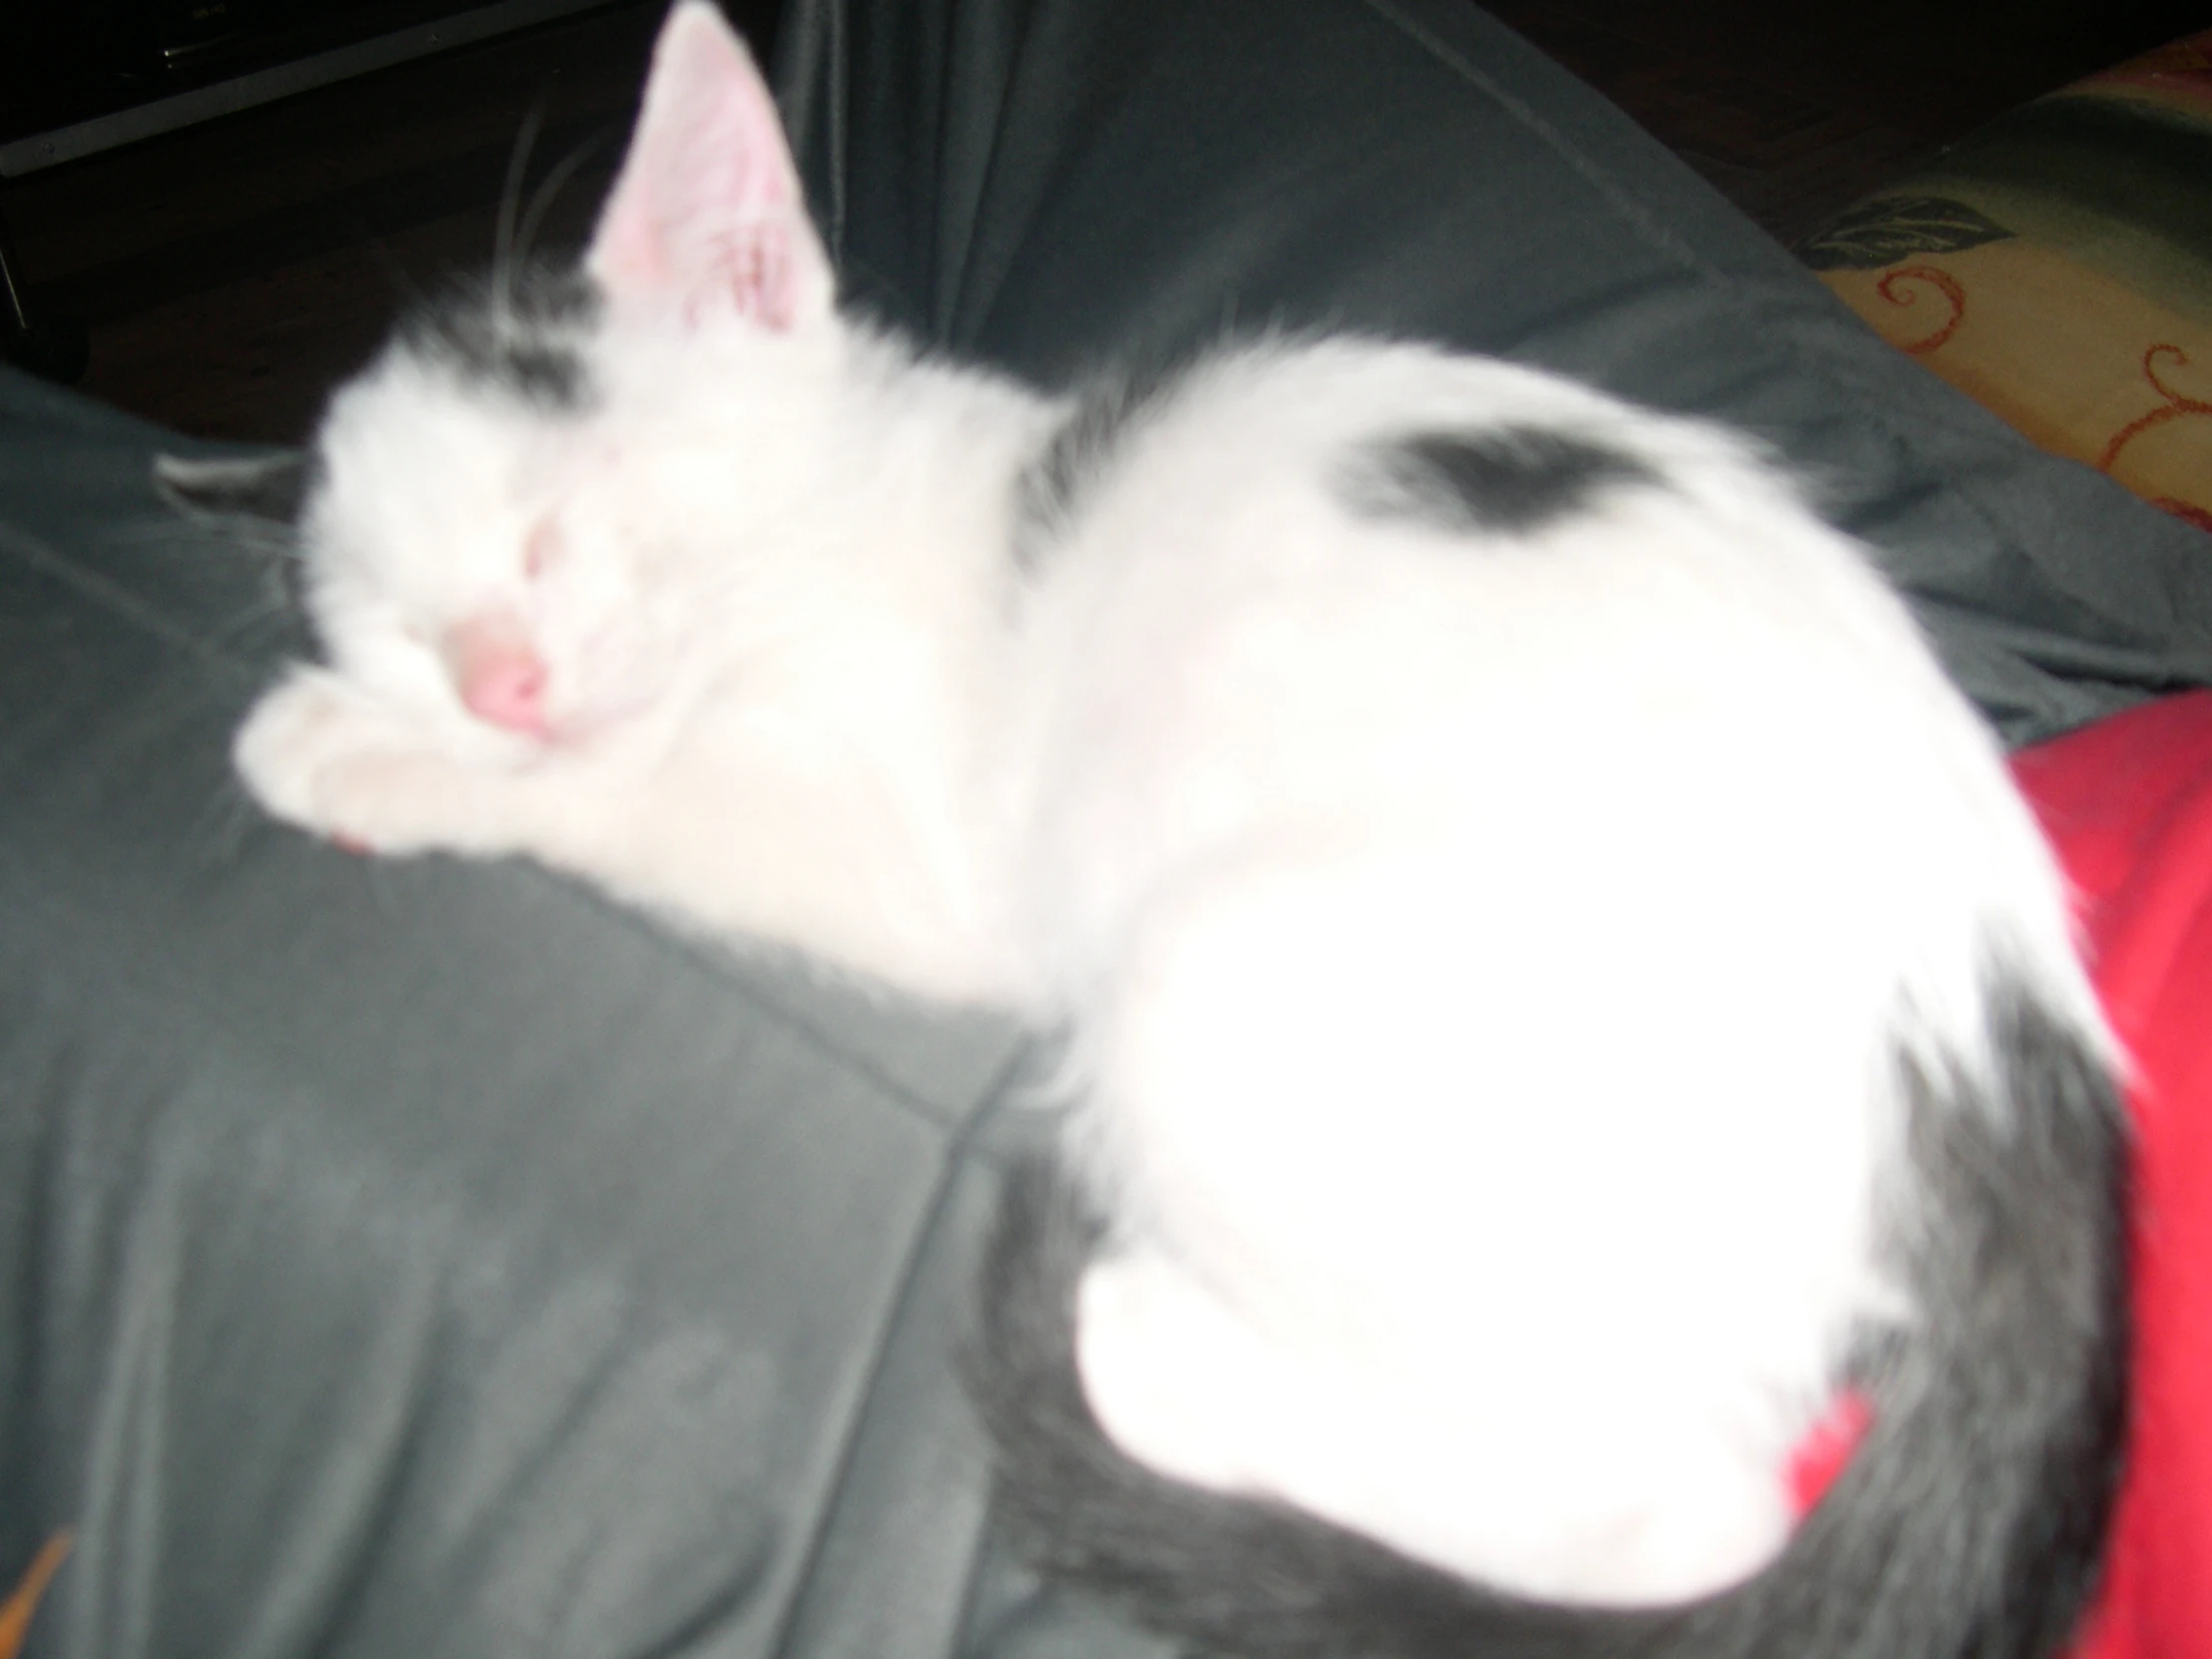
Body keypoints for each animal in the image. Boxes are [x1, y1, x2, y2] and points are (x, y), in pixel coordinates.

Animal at [186, 6, 2123, 1654]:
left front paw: (342, 752)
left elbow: (639, 786)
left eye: (551, 527)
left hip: (1208, 977)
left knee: (1687, 1509)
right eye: (397, 620)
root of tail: (2011, 1044)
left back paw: (1158, 1359)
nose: (495, 683)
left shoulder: (898, 840)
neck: (853, 531)